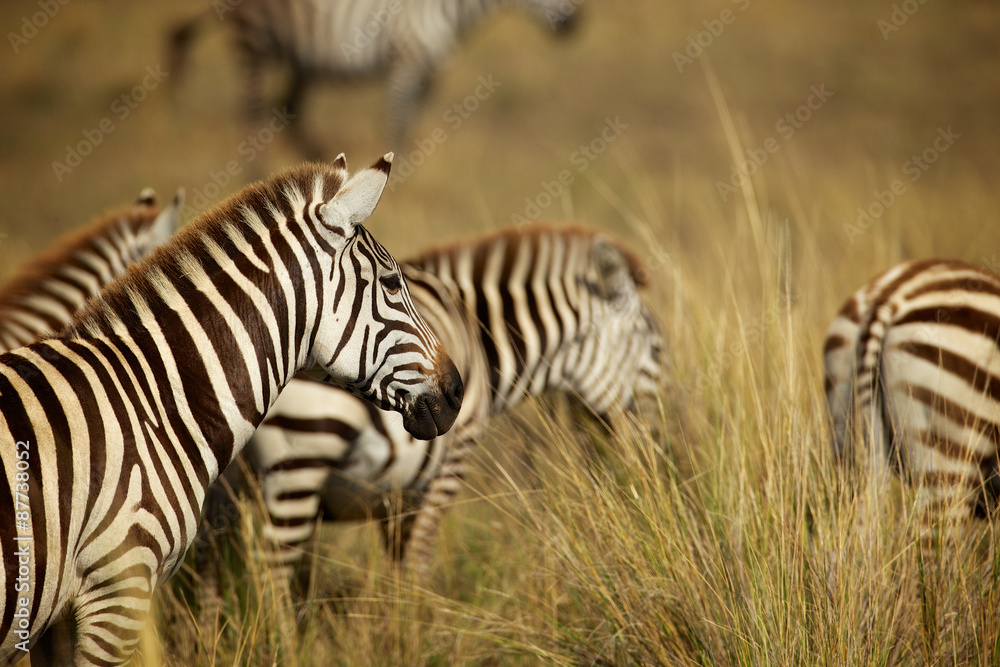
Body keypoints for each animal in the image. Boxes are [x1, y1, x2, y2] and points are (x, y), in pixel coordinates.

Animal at [169, 0, 579, 153]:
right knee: (250, 116)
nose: (579, 22)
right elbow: (398, 129)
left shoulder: (427, 74)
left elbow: (411, 131)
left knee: (288, 110)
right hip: (255, 43)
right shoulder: (406, 62)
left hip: (301, 59)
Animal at [206, 223, 663, 582]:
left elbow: (399, 566)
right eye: (658, 350)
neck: (478, 337)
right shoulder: (452, 460)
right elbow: (419, 563)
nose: (658, 459)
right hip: (300, 462)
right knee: (270, 576)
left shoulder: (395, 493)